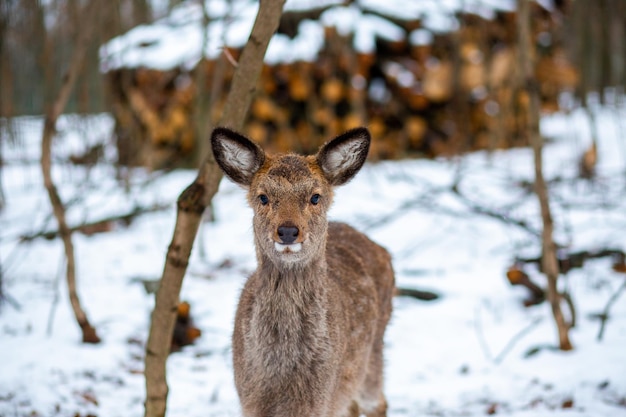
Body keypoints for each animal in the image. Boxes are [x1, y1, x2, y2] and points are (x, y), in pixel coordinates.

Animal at [212, 127, 392, 416]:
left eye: (315, 197)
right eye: (263, 197)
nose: (287, 230)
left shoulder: (319, 400)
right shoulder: (249, 400)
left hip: (372, 357)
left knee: (378, 400)